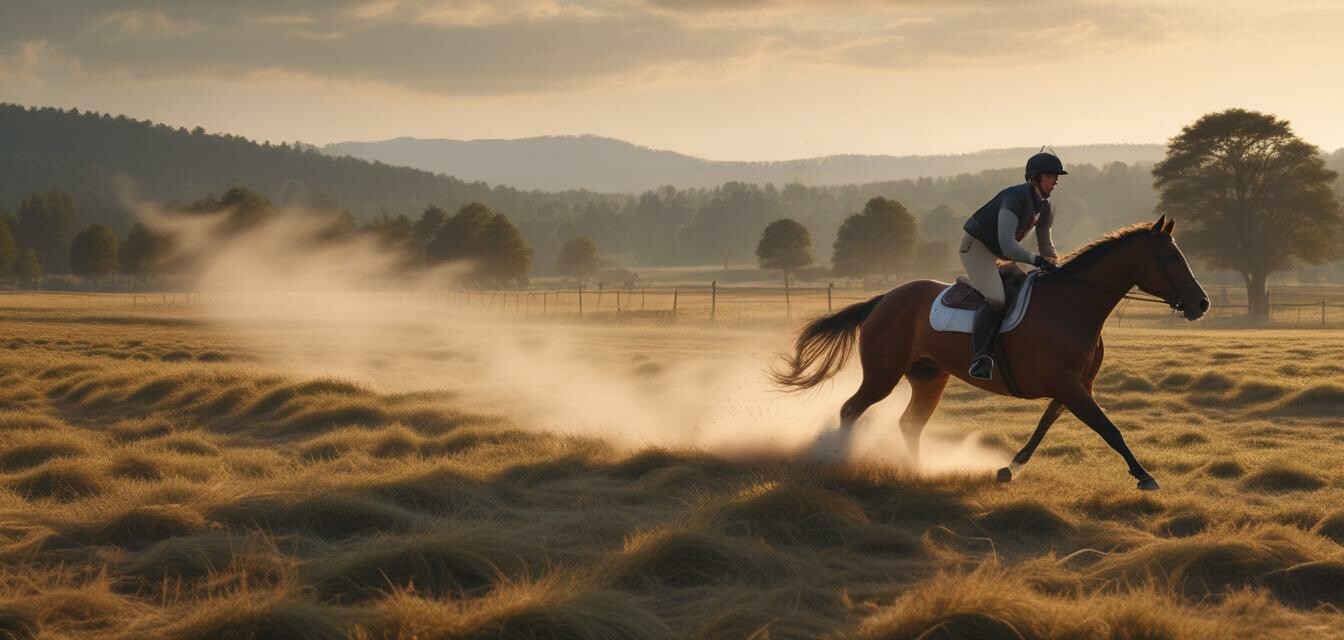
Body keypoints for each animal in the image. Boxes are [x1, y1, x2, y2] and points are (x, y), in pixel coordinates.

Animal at [779, 215, 1209, 489]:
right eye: (1171, 257)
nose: (1201, 303)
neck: (1073, 305)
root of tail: (884, 299)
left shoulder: (1075, 386)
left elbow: (1044, 428)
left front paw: (1009, 469)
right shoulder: (1070, 386)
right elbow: (1109, 429)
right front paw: (1144, 476)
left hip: (929, 378)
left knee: (910, 424)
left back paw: (918, 471)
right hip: (883, 374)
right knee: (851, 409)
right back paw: (840, 458)